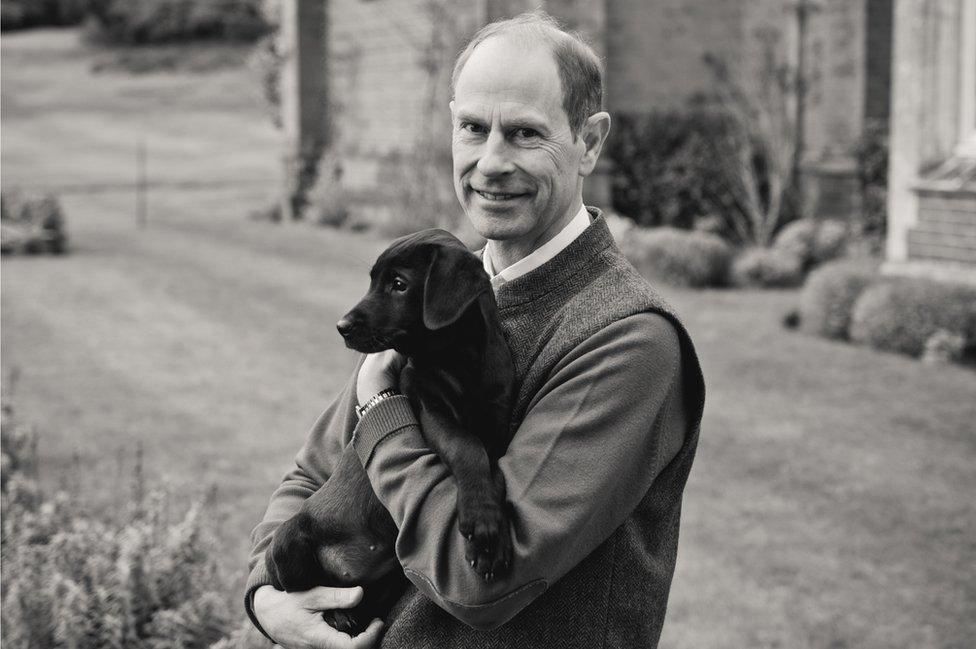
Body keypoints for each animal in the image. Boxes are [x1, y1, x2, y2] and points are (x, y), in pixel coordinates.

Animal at [264, 228, 516, 632]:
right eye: (373, 281)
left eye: (399, 284)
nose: (341, 326)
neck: (458, 356)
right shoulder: (428, 407)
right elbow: (465, 447)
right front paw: (483, 523)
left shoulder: (497, 417)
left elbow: (490, 465)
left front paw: (492, 534)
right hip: (288, 539)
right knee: (305, 590)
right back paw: (338, 615)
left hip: (390, 577)